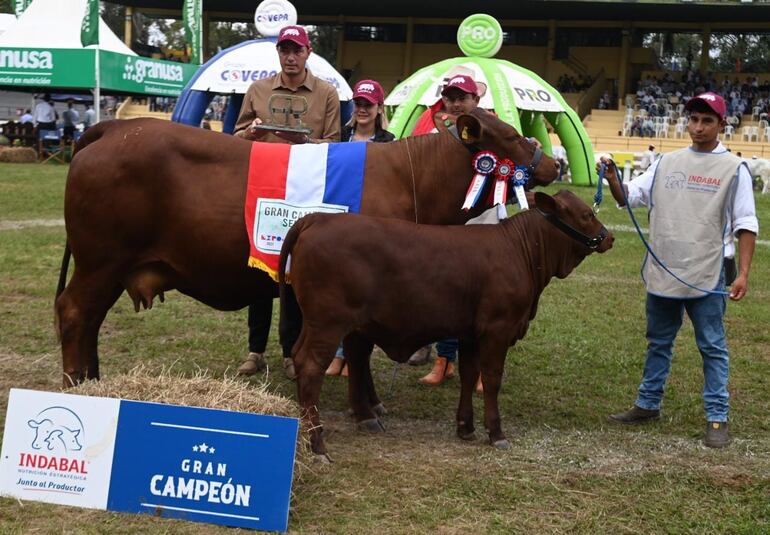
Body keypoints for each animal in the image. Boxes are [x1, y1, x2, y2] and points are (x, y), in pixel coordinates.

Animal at [57, 110, 556, 386]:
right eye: (512, 135)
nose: (552, 163)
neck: (416, 178)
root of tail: (112, 128)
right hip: (100, 261)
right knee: (76, 313)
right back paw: (78, 382)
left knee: (90, 319)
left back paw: (94, 379)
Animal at [280, 189, 612, 456]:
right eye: (586, 214)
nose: (610, 237)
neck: (520, 250)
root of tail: (318, 219)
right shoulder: (498, 329)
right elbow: (492, 379)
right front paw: (496, 433)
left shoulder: (470, 333)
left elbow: (468, 374)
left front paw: (465, 426)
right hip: (329, 324)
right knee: (312, 367)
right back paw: (317, 444)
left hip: (321, 324)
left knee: (311, 357)